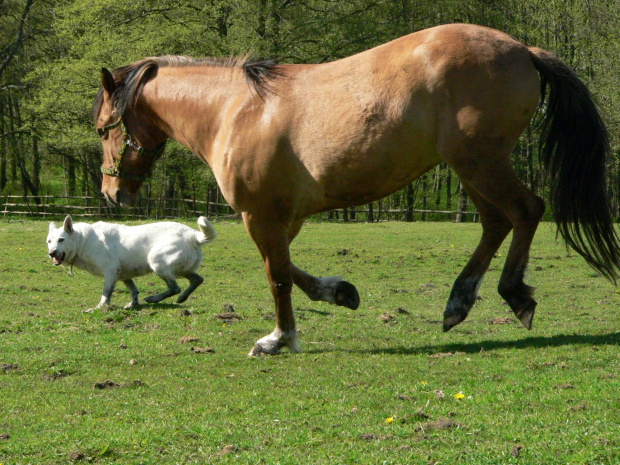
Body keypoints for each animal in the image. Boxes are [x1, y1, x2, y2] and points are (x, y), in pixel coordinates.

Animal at [46, 216, 216, 310]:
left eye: (61, 240)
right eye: (49, 241)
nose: (51, 253)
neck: (82, 240)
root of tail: (193, 235)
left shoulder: (110, 271)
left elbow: (106, 294)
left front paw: (99, 308)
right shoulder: (123, 275)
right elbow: (134, 291)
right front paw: (133, 306)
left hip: (157, 263)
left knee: (175, 287)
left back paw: (154, 299)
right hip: (182, 269)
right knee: (197, 279)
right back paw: (182, 298)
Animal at [94, 23, 616, 354]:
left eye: (102, 130)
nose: (112, 193)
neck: (235, 111)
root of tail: (523, 49)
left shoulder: (261, 215)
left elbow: (277, 276)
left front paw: (279, 339)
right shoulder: (284, 217)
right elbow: (290, 271)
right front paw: (338, 292)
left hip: (479, 161)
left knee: (526, 210)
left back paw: (513, 294)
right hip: (474, 167)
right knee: (495, 223)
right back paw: (459, 301)